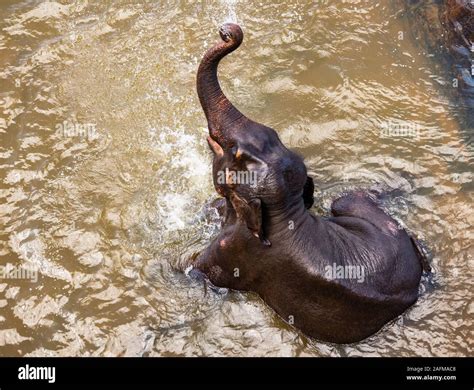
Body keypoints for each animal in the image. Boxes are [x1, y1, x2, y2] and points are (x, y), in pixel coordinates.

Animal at [190, 22, 430, 342]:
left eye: (238, 154)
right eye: (274, 133)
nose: (228, 31)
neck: (286, 212)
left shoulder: (234, 253)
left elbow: (194, 268)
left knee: (345, 198)